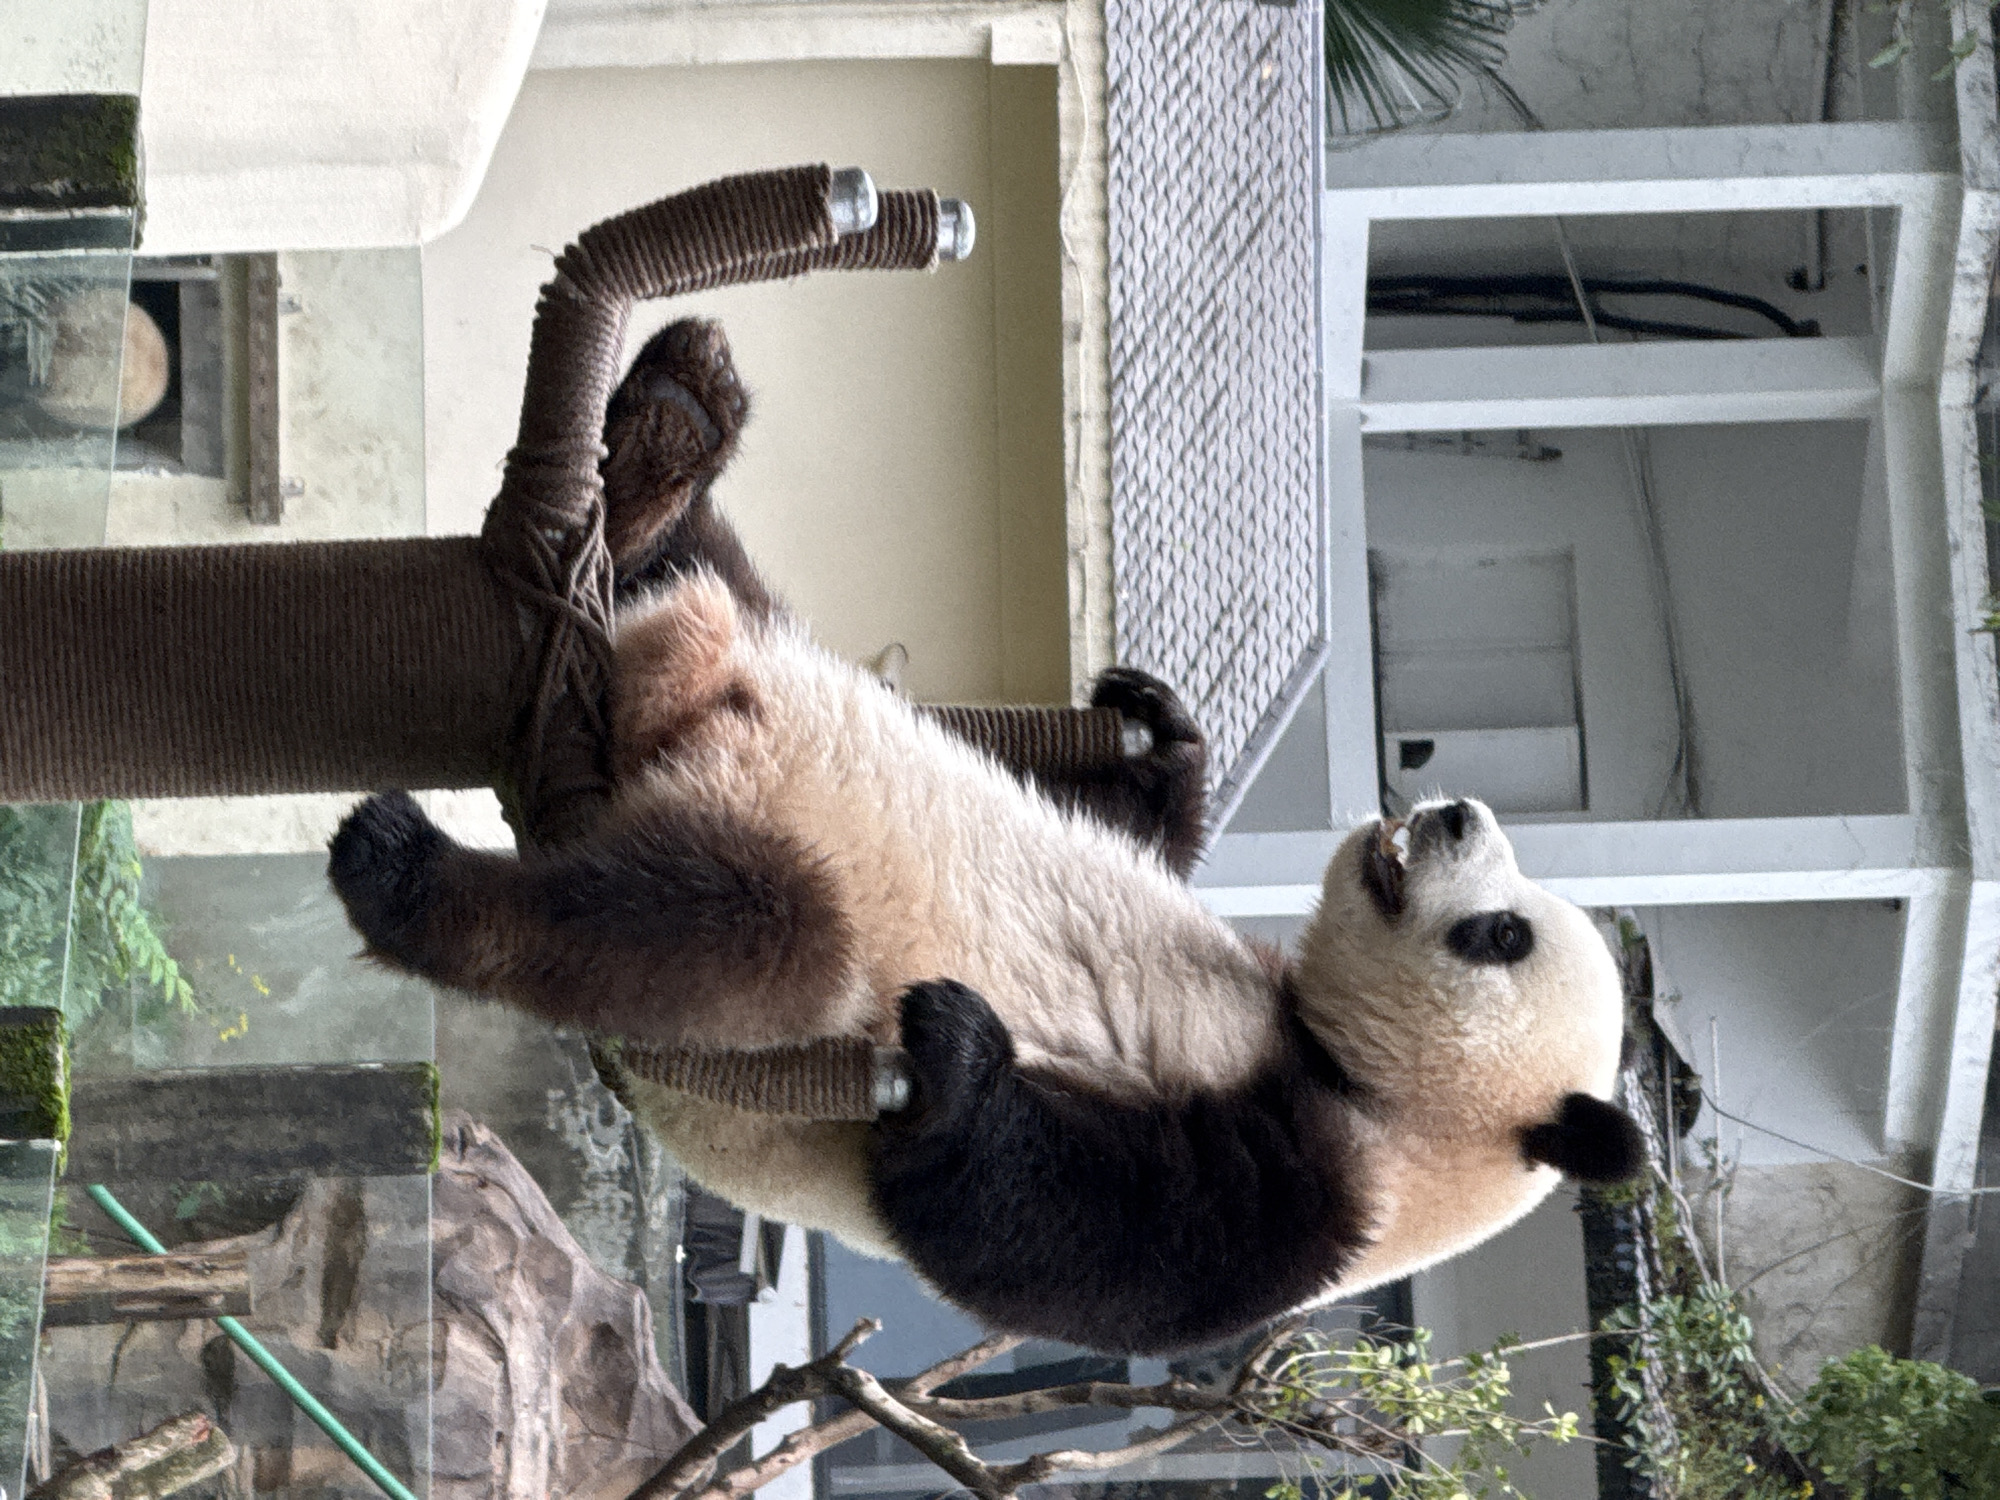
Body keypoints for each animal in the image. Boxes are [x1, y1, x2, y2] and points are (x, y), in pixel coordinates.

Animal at [329, 319, 1642, 1358]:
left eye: (1498, 934)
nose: (1452, 811)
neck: (1353, 1078)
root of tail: (694, 694)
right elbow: (1145, 832)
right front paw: (1159, 733)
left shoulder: (1310, 1210)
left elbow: (1049, 1241)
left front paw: (958, 1054)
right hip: (754, 649)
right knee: (700, 570)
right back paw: (672, 426)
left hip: (773, 882)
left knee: (708, 930)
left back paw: (408, 873)